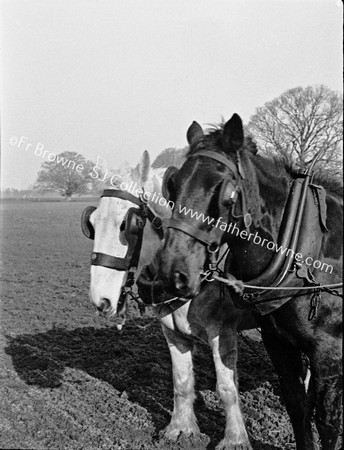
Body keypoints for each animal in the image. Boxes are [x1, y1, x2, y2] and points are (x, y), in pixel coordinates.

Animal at [81, 151, 258, 450]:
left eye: (128, 225)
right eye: (91, 223)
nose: (100, 299)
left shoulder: (223, 333)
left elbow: (226, 388)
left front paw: (235, 439)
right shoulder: (173, 333)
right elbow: (182, 381)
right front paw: (180, 430)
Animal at [158, 113, 342, 450]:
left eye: (226, 192)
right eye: (172, 184)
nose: (171, 271)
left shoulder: (329, 350)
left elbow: (328, 422)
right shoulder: (279, 342)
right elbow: (297, 406)